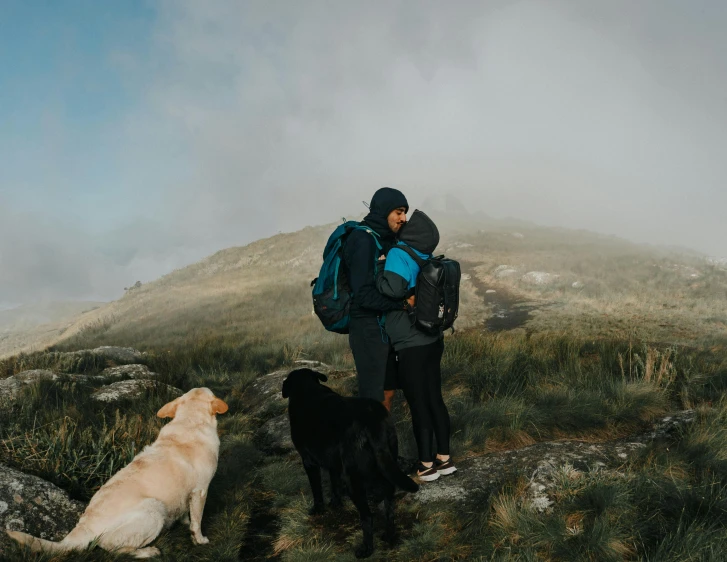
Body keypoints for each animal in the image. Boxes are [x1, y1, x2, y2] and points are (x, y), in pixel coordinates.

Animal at [5, 384, 228, 556]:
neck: (190, 421)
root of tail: (83, 527)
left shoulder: (187, 494)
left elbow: (186, 513)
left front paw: (184, 522)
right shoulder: (201, 490)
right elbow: (197, 521)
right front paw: (199, 539)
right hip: (154, 509)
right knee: (112, 549)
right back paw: (147, 552)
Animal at [284, 368, 420, 556]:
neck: (306, 388)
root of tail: (371, 421)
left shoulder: (309, 462)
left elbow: (316, 489)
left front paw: (318, 509)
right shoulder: (333, 463)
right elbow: (334, 485)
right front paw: (336, 504)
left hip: (353, 478)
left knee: (368, 516)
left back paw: (366, 549)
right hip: (386, 460)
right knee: (389, 498)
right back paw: (389, 535)